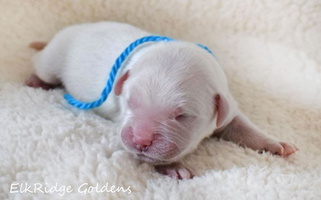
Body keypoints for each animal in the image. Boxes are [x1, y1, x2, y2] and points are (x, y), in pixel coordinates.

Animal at [25, 21, 298, 179]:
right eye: (131, 102)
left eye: (181, 116)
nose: (141, 139)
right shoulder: (124, 123)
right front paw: (173, 166)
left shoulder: (228, 107)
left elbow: (243, 126)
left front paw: (275, 144)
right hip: (52, 60)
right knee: (40, 65)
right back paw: (35, 80)